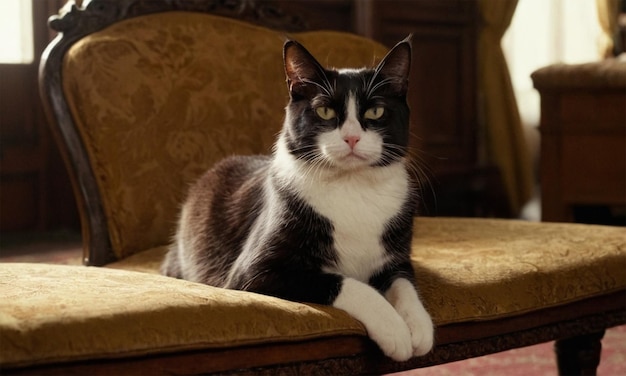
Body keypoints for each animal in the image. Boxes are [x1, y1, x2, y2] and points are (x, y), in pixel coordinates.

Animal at [161, 36, 432, 362]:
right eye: (324, 111)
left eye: (376, 112)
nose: (352, 138)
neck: (351, 185)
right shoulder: (254, 272)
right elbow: (343, 282)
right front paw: (394, 328)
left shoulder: (397, 255)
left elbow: (405, 283)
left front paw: (419, 326)